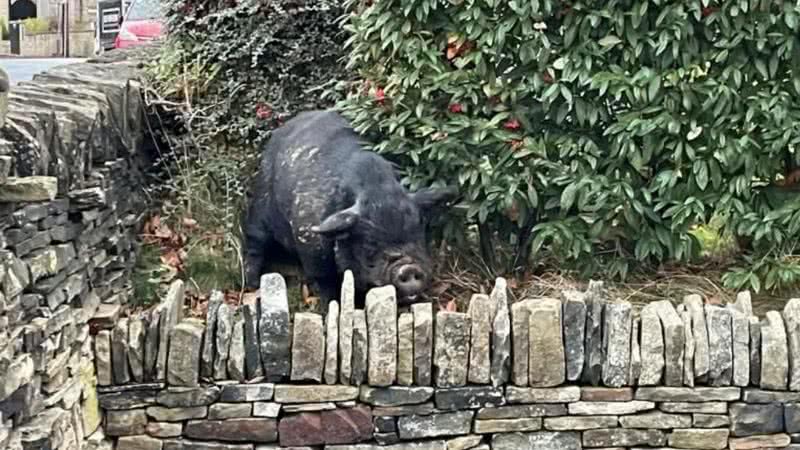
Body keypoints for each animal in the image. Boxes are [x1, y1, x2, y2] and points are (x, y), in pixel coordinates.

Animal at [241, 110, 456, 312]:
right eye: (369, 245)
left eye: (418, 234)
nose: (409, 268)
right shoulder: (310, 242)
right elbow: (325, 281)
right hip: (260, 205)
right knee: (254, 243)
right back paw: (252, 285)